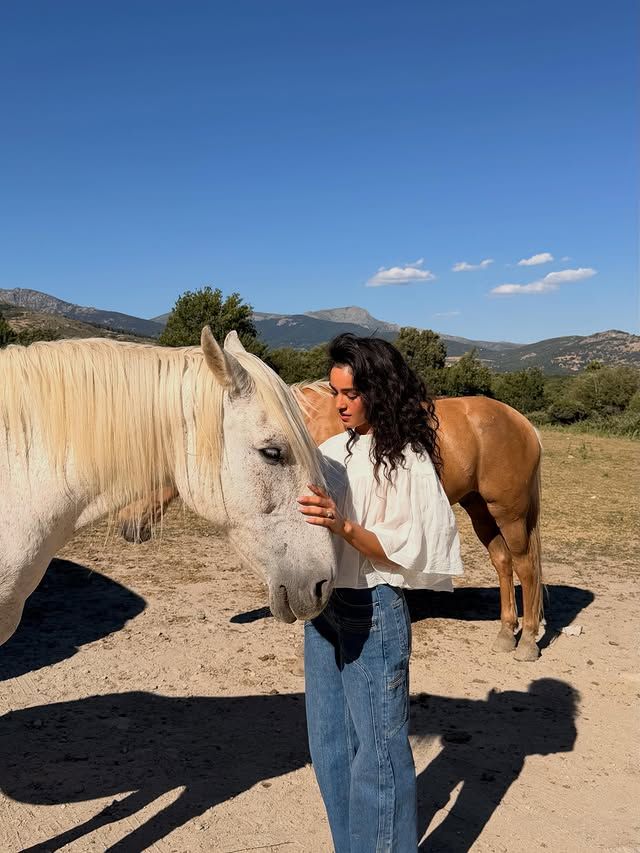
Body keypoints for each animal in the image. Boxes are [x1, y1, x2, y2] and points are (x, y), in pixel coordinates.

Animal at [120, 380, 543, 661]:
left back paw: (526, 642)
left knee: (525, 568)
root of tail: (521, 422)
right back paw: (506, 633)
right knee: (503, 563)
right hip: (480, 509)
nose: (127, 526)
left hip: (508, 512)